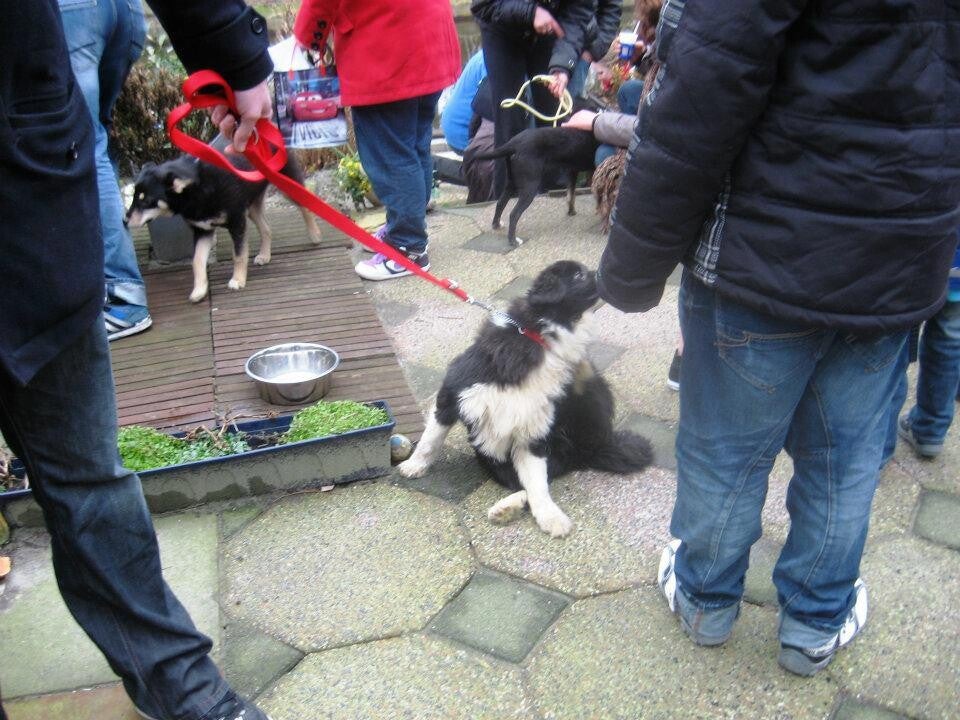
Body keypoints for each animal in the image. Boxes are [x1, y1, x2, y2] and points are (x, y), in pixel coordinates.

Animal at [126, 149, 321, 303]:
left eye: (146, 200)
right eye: (134, 196)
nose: (124, 220)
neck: (198, 189)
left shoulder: (237, 221)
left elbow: (239, 255)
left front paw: (238, 279)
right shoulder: (203, 230)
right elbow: (197, 260)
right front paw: (199, 289)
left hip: (286, 182)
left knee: (306, 205)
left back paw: (315, 235)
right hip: (252, 204)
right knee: (266, 228)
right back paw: (265, 255)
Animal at [398, 260, 652, 537]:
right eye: (578, 274)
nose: (611, 276)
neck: (541, 337)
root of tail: (600, 445)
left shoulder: (534, 433)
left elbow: (537, 484)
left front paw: (551, 517)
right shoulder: (453, 394)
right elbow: (430, 440)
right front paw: (414, 465)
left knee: (532, 480)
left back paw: (506, 509)